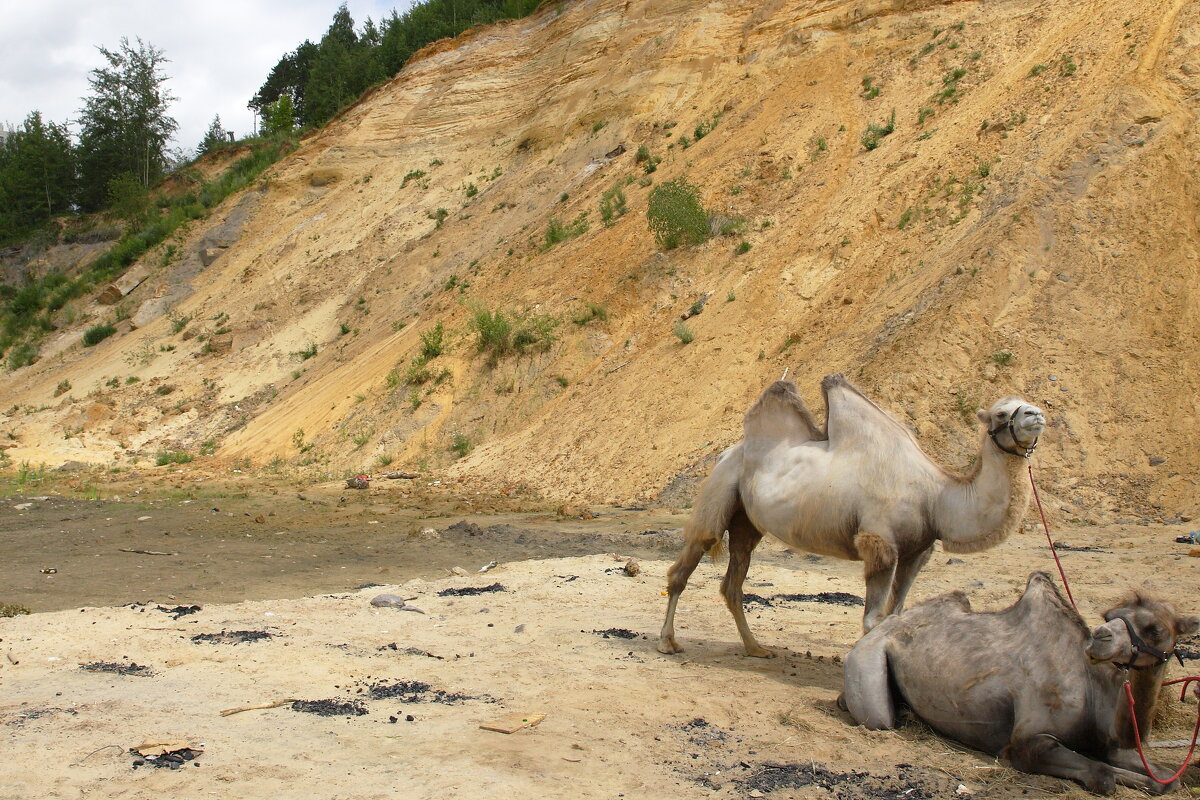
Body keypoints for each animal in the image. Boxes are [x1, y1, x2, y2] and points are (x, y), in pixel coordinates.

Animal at [657, 376, 1041, 657]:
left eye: (1024, 403)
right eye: (1000, 413)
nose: (1036, 414)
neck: (936, 496)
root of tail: (728, 452)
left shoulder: (918, 550)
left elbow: (895, 615)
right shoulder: (880, 543)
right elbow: (873, 620)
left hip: (747, 521)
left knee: (734, 580)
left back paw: (756, 648)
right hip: (720, 488)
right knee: (689, 560)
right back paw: (668, 641)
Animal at [840, 568, 1195, 796]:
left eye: (1156, 629)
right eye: (1110, 617)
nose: (1100, 638)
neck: (1094, 692)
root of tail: (879, 629)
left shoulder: (1110, 743)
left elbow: (1167, 779)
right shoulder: (1026, 742)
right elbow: (1103, 775)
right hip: (868, 663)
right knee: (880, 718)